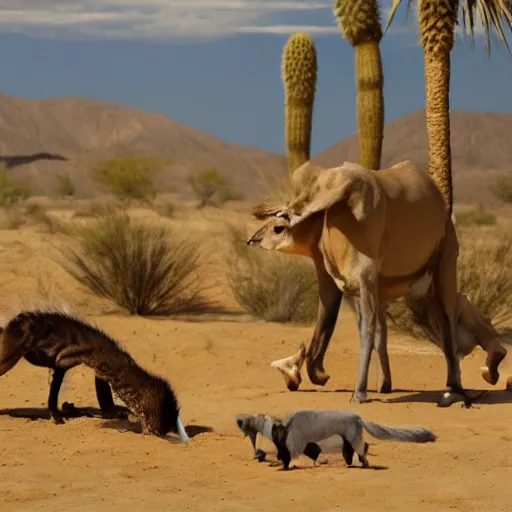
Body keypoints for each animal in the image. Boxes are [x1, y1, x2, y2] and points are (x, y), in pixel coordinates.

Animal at [246, 160, 506, 408]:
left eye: (278, 228)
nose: (252, 240)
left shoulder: (366, 278)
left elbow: (367, 330)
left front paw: (358, 394)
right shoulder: (347, 282)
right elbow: (372, 329)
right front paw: (383, 386)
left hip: (446, 259)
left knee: (449, 316)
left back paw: (457, 388)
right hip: (420, 290)